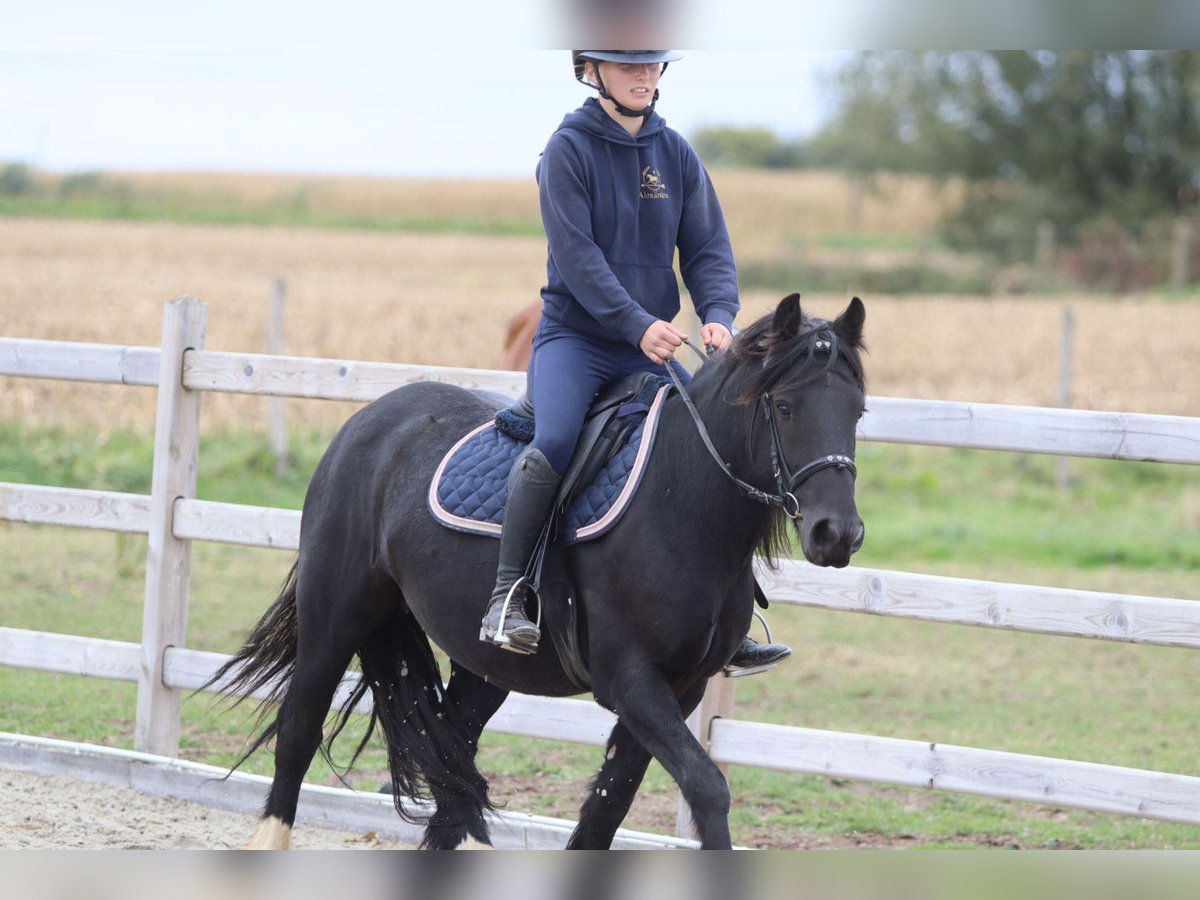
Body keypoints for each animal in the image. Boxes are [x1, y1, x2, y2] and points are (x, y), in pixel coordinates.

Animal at [206, 293, 867, 850]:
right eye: (784, 407)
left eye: (858, 411)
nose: (837, 534)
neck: (683, 502)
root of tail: (370, 419)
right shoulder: (631, 679)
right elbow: (706, 787)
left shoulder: (682, 687)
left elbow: (607, 806)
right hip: (334, 616)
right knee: (300, 730)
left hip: (484, 663)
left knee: (450, 757)